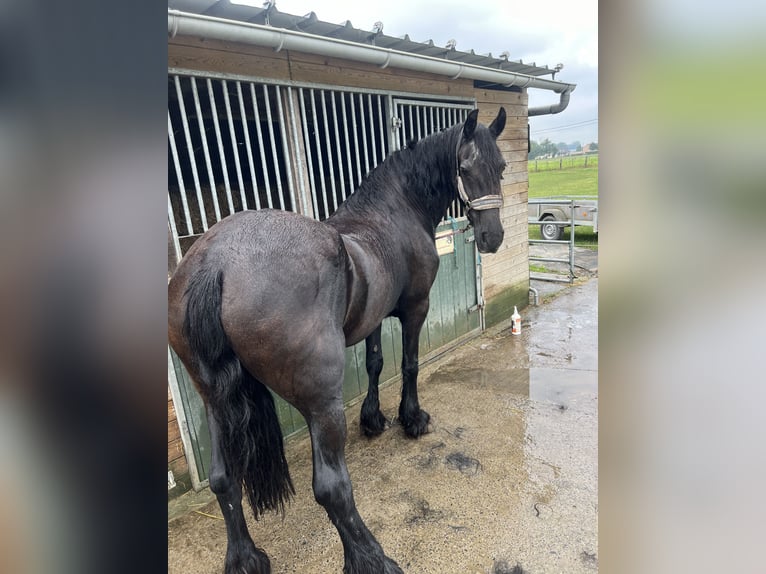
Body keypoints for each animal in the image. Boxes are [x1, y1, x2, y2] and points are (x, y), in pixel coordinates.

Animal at [171, 107, 512, 572]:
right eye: (464, 168)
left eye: (502, 167)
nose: (492, 238)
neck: (393, 213)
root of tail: (217, 263)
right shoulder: (415, 309)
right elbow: (408, 364)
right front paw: (412, 418)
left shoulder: (372, 320)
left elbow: (375, 363)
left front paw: (373, 420)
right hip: (321, 406)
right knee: (332, 488)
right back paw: (373, 559)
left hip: (213, 401)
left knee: (224, 479)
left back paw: (246, 558)